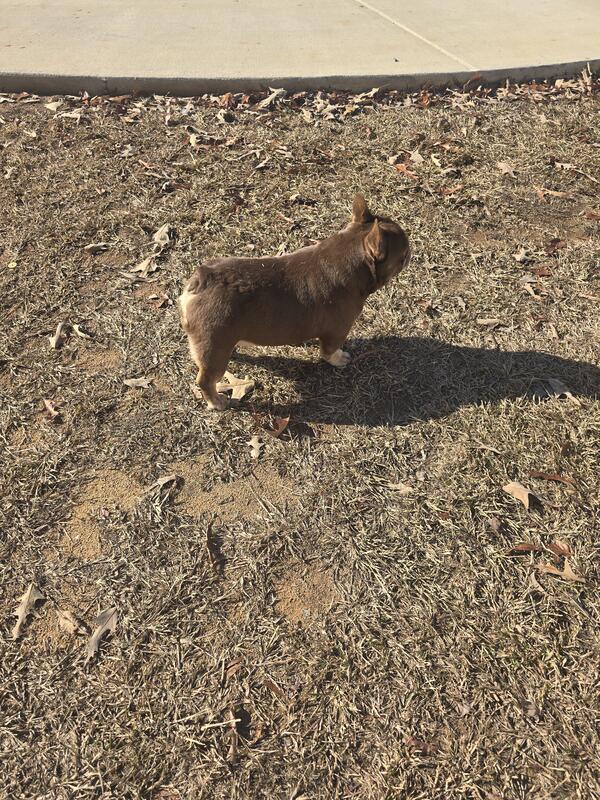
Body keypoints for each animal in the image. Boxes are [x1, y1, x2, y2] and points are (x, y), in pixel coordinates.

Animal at [179, 194, 411, 409]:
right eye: (402, 256)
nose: (411, 254)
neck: (350, 253)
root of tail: (202, 281)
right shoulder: (337, 331)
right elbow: (329, 352)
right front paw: (339, 359)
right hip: (214, 348)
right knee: (205, 380)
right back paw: (217, 402)